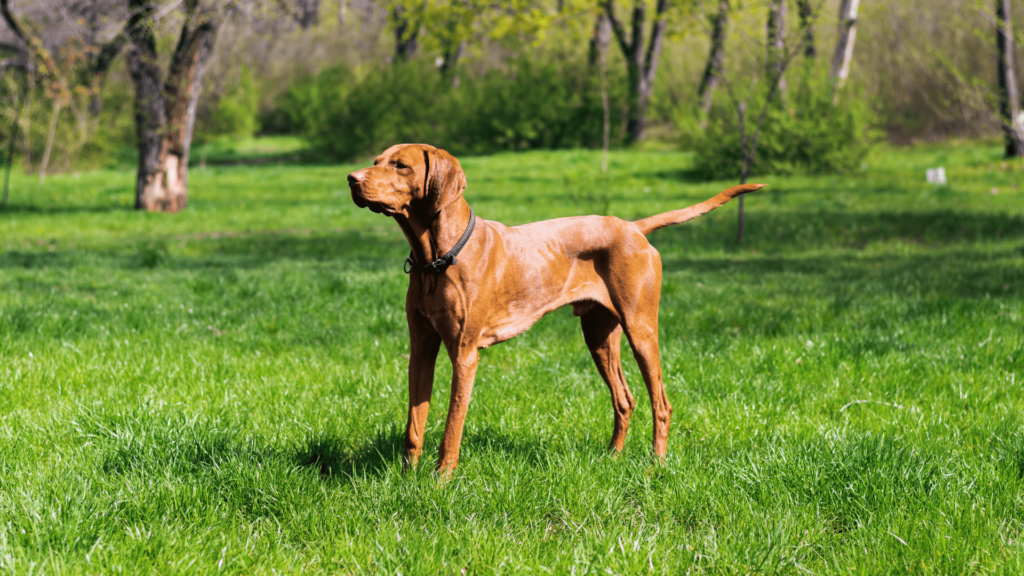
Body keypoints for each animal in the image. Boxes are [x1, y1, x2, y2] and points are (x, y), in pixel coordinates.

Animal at [348, 143, 765, 471]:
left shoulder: (464, 354)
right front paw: (407, 478)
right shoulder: (421, 348)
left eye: (401, 166)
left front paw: (440, 481)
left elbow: (452, 427)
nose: (351, 178)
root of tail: (633, 226)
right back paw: (613, 456)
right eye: (377, 160)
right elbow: (413, 424)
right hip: (599, 336)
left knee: (660, 402)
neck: (435, 259)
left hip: (641, 330)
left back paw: (656, 464)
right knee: (625, 399)